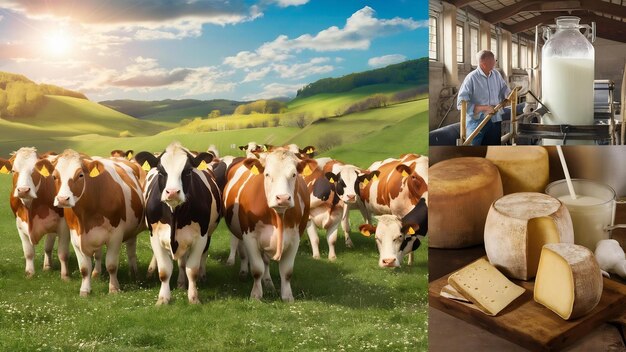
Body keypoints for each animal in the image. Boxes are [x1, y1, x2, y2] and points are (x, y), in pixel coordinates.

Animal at [0, 148, 70, 280]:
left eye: (35, 171)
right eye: (13, 171)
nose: (23, 190)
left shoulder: (64, 225)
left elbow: (63, 253)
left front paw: (65, 276)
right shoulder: (20, 225)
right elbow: (28, 252)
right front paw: (29, 273)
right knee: (48, 246)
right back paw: (47, 266)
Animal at [52, 150, 145, 296]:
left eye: (80, 175)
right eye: (54, 176)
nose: (62, 199)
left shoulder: (116, 235)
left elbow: (111, 265)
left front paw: (114, 288)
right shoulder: (75, 236)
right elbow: (84, 268)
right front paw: (85, 290)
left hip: (132, 232)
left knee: (131, 252)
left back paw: (134, 274)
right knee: (99, 254)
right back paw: (96, 273)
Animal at [135, 142, 223, 304]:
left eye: (188, 171)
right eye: (161, 171)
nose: (172, 192)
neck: (174, 214)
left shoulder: (200, 238)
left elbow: (192, 270)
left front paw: (193, 297)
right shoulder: (155, 236)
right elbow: (164, 270)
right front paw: (163, 299)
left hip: (207, 234)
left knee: (197, 258)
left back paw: (199, 277)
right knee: (180, 262)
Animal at [223, 150, 308, 302]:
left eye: (294, 174)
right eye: (267, 174)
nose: (283, 198)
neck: (278, 216)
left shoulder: (295, 239)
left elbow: (286, 271)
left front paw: (287, 296)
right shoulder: (249, 236)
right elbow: (257, 269)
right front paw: (256, 295)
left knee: (266, 261)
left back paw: (268, 282)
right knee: (242, 252)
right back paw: (243, 272)